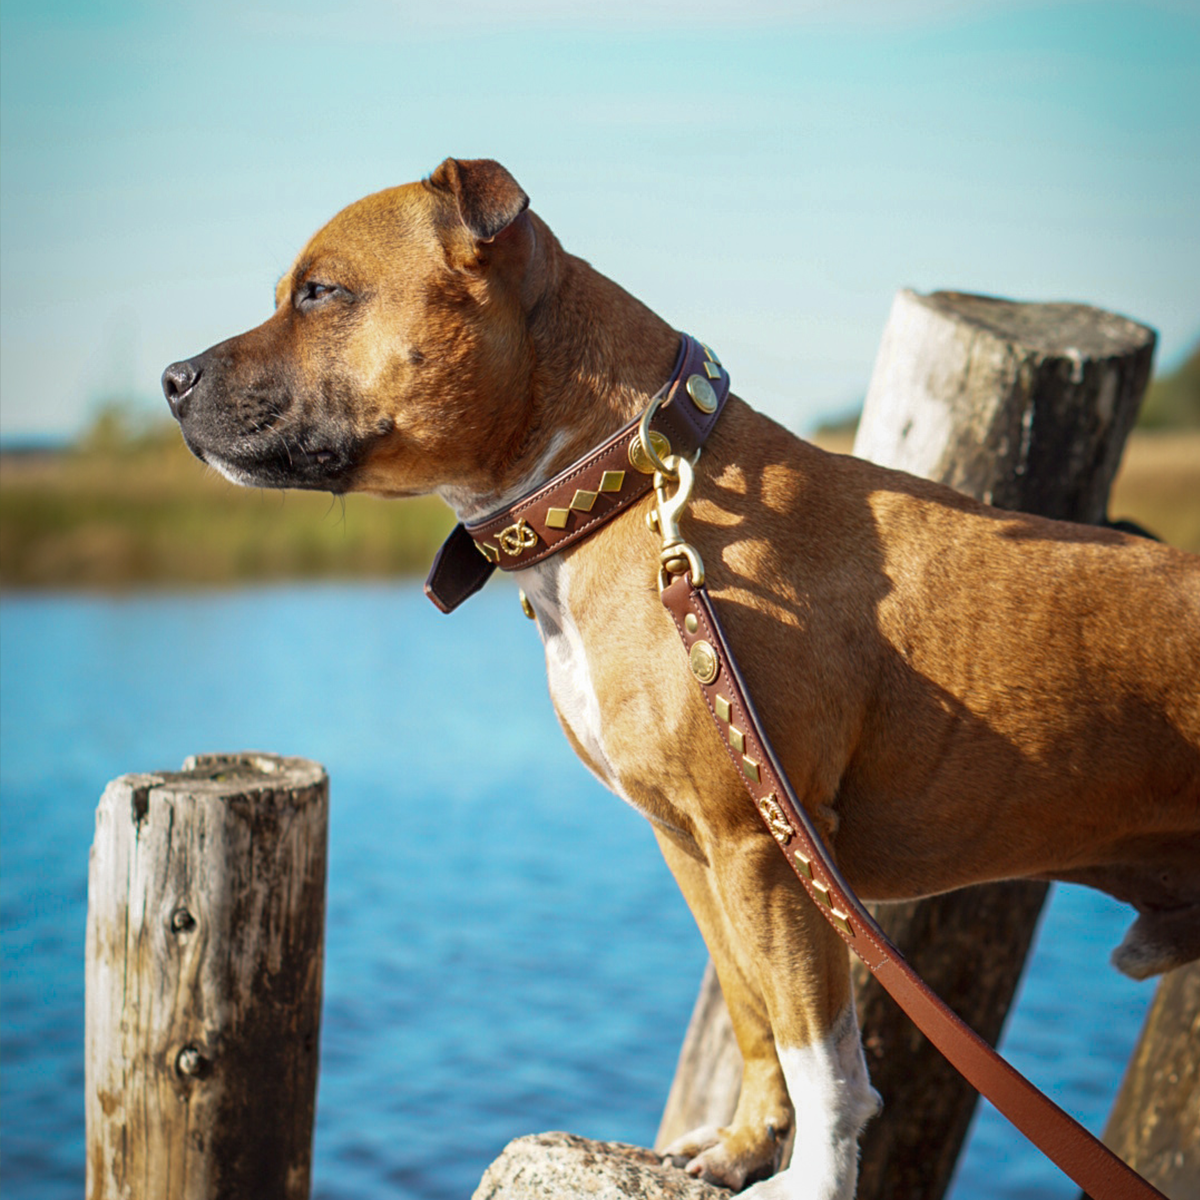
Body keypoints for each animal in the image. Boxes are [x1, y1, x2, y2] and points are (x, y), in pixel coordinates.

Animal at [164, 159, 1200, 1200]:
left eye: (320, 293)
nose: (172, 379)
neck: (619, 481)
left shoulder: (763, 844)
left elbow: (822, 1052)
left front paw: (814, 1179)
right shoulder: (695, 847)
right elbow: (754, 1010)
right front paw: (744, 1145)